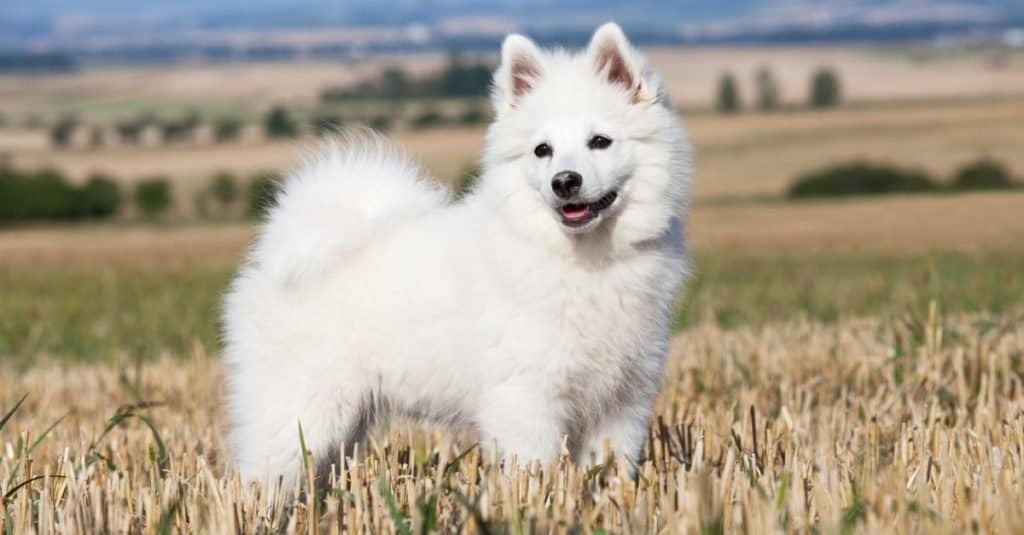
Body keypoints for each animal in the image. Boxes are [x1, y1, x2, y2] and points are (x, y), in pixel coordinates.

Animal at [220, 22, 692, 485]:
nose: (564, 181)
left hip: (344, 423)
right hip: (298, 413)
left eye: (600, 141)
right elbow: (533, 472)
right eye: (543, 150)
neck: (582, 257)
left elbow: (608, 473)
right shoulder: (526, 397)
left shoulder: (621, 402)